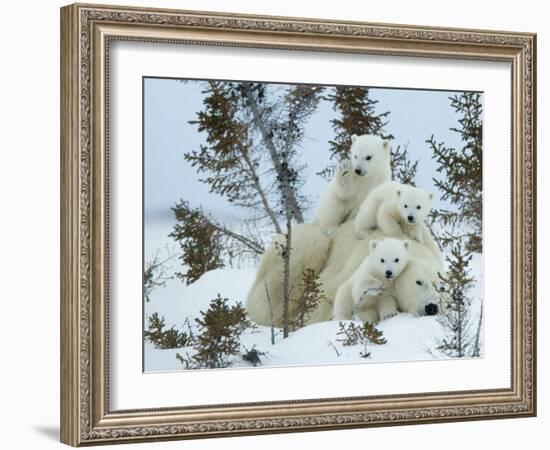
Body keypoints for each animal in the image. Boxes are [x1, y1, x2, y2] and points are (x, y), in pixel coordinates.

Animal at [246, 134, 392, 326]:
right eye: (354, 156)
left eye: (369, 157)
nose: (358, 170)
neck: (367, 180)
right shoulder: (352, 189)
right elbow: (343, 193)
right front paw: (344, 170)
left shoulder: (376, 185)